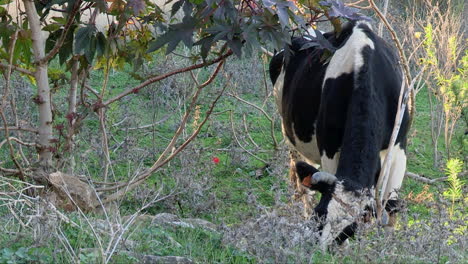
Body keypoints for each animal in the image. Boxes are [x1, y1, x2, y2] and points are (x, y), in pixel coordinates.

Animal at [270, 21, 410, 248]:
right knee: (301, 180)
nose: (319, 250)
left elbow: (391, 207)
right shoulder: (329, 149)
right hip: (288, 130)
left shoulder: (399, 149)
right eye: (319, 215)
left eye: (349, 230)